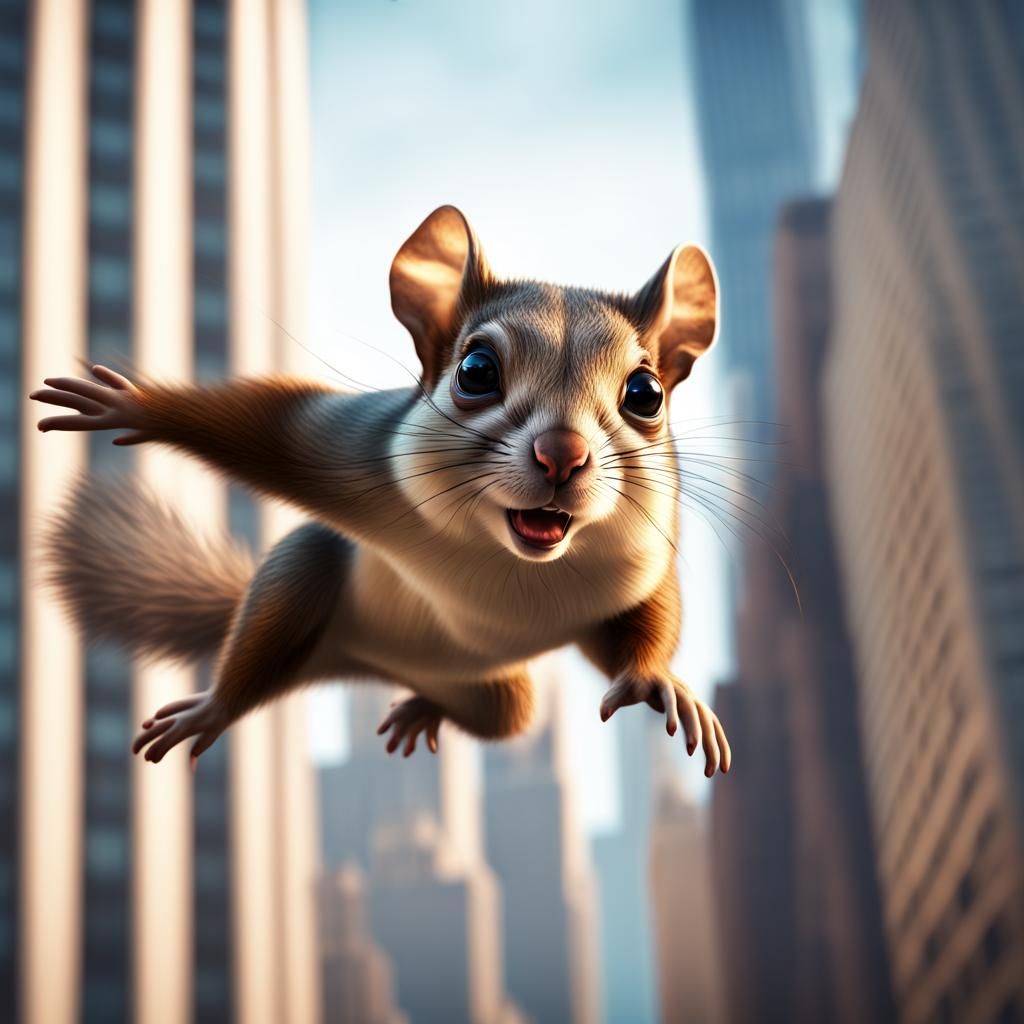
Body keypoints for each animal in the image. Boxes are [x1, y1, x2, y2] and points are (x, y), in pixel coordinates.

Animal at [30, 205, 731, 777]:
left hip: (497, 692)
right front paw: (136, 405)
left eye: (647, 393)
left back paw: (421, 707)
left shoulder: (635, 563)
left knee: (503, 714)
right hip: (301, 579)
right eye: (476, 370)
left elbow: (648, 617)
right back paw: (214, 706)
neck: (507, 559)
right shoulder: (358, 455)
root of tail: (376, 664)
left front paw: (659, 683)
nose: (563, 453)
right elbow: (275, 427)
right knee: (257, 658)